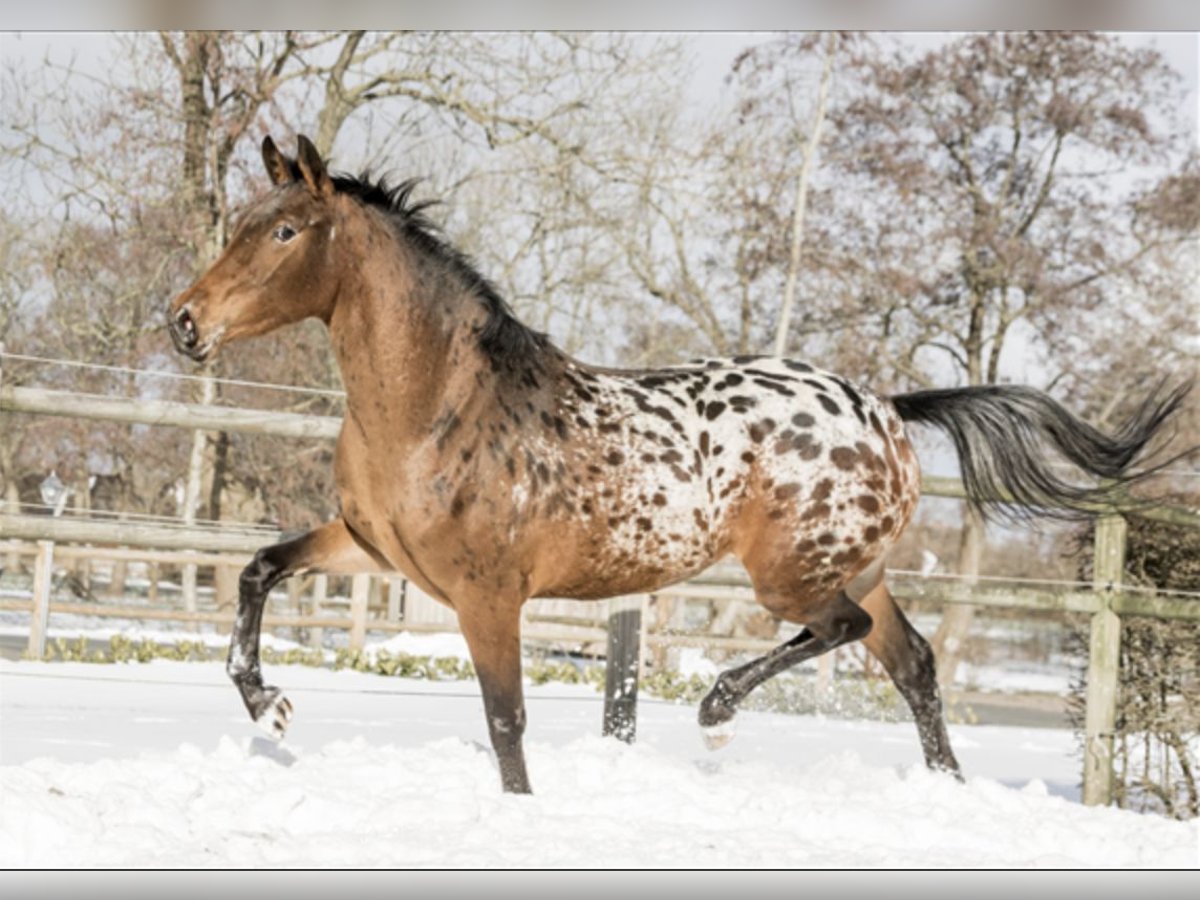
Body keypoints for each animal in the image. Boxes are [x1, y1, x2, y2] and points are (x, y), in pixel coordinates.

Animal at [169, 135, 1190, 796]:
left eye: (285, 232)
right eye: (246, 221)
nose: (184, 323)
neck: (434, 408)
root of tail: (887, 409)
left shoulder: (487, 596)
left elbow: (506, 723)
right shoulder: (371, 549)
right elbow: (258, 569)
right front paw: (269, 706)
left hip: (791, 576)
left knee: (844, 631)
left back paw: (715, 708)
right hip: (856, 562)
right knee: (914, 663)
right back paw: (945, 791)